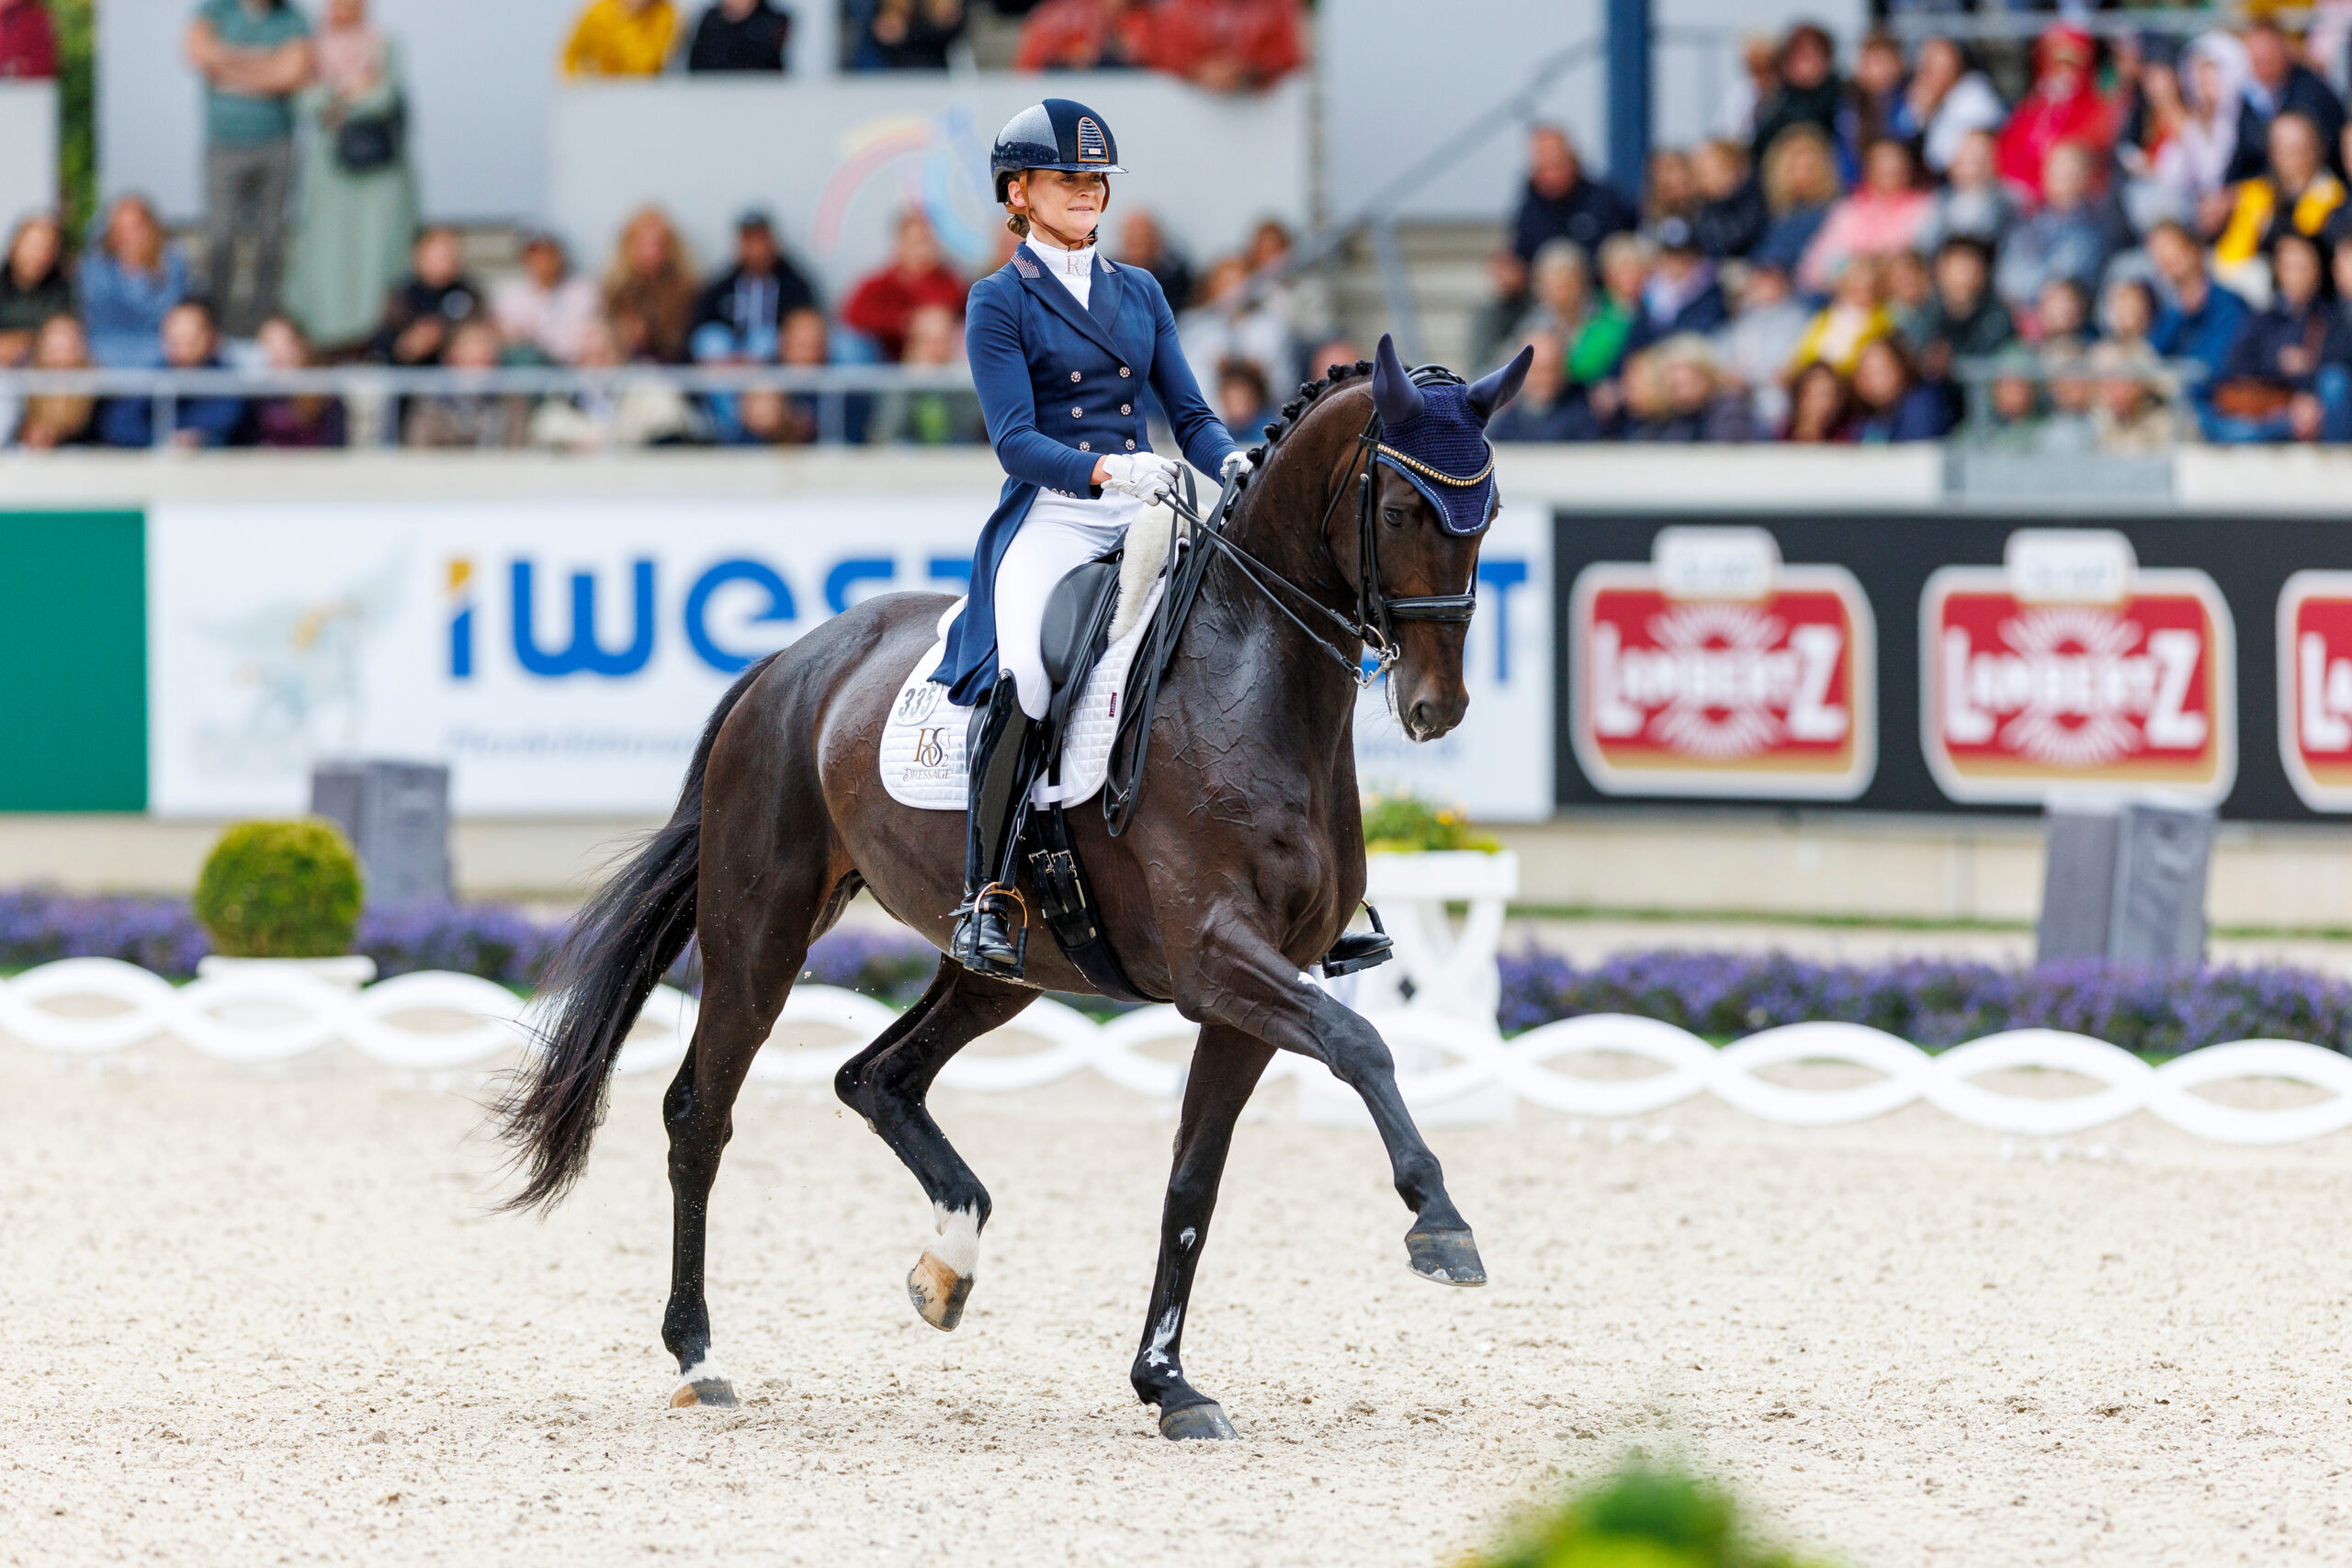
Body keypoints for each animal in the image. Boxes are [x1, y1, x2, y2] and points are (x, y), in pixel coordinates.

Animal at [494, 335, 1533, 1440]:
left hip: (1006, 966)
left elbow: (1193, 1182)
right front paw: (1441, 1224)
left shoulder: (1253, 990)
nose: (1435, 708)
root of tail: (788, 662)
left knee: (875, 1076)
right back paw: (699, 1355)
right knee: (701, 1113)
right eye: (1401, 511)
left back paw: (946, 1262)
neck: (1252, 683)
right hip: (759, 928)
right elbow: (1362, 1042)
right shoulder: (1217, 959)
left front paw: (1168, 1384)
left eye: (1488, 513)